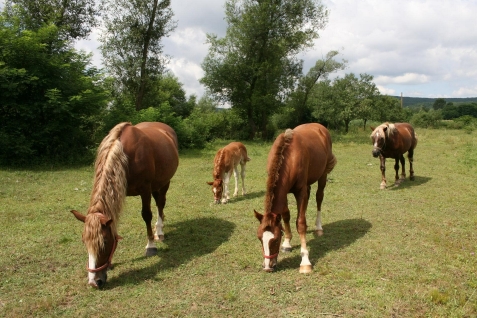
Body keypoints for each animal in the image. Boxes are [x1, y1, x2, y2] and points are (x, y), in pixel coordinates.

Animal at [69, 121, 177, 288]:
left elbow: (147, 215)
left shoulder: (145, 189)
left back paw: (159, 232)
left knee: (160, 204)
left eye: (105, 242)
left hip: (164, 182)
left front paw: (151, 246)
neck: (125, 156)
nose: (94, 282)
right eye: (84, 242)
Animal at [253, 122, 334, 274]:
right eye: (260, 238)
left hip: (322, 175)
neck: (290, 157)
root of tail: (320, 128)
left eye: (275, 239)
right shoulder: (284, 192)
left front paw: (305, 262)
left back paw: (318, 227)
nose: (267, 267)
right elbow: (286, 215)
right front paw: (287, 243)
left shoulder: (300, 191)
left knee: (319, 197)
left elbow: (300, 223)